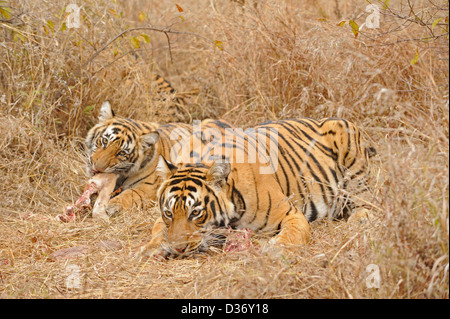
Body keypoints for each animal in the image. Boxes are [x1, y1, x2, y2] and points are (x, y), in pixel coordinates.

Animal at [84, 102, 234, 218]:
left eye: (121, 153)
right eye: (104, 141)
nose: (98, 168)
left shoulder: (149, 188)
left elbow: (130, 194)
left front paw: (110, 205)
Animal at [138, 118, 376, 258]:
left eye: (196, 213)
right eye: (169, 213)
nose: (178, 249)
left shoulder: (291, 213)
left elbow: (293, 235)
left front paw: (275, 249)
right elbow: (158, 230)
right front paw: (150, 248)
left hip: (351, 157)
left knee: (366, 201)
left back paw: (359, 219)